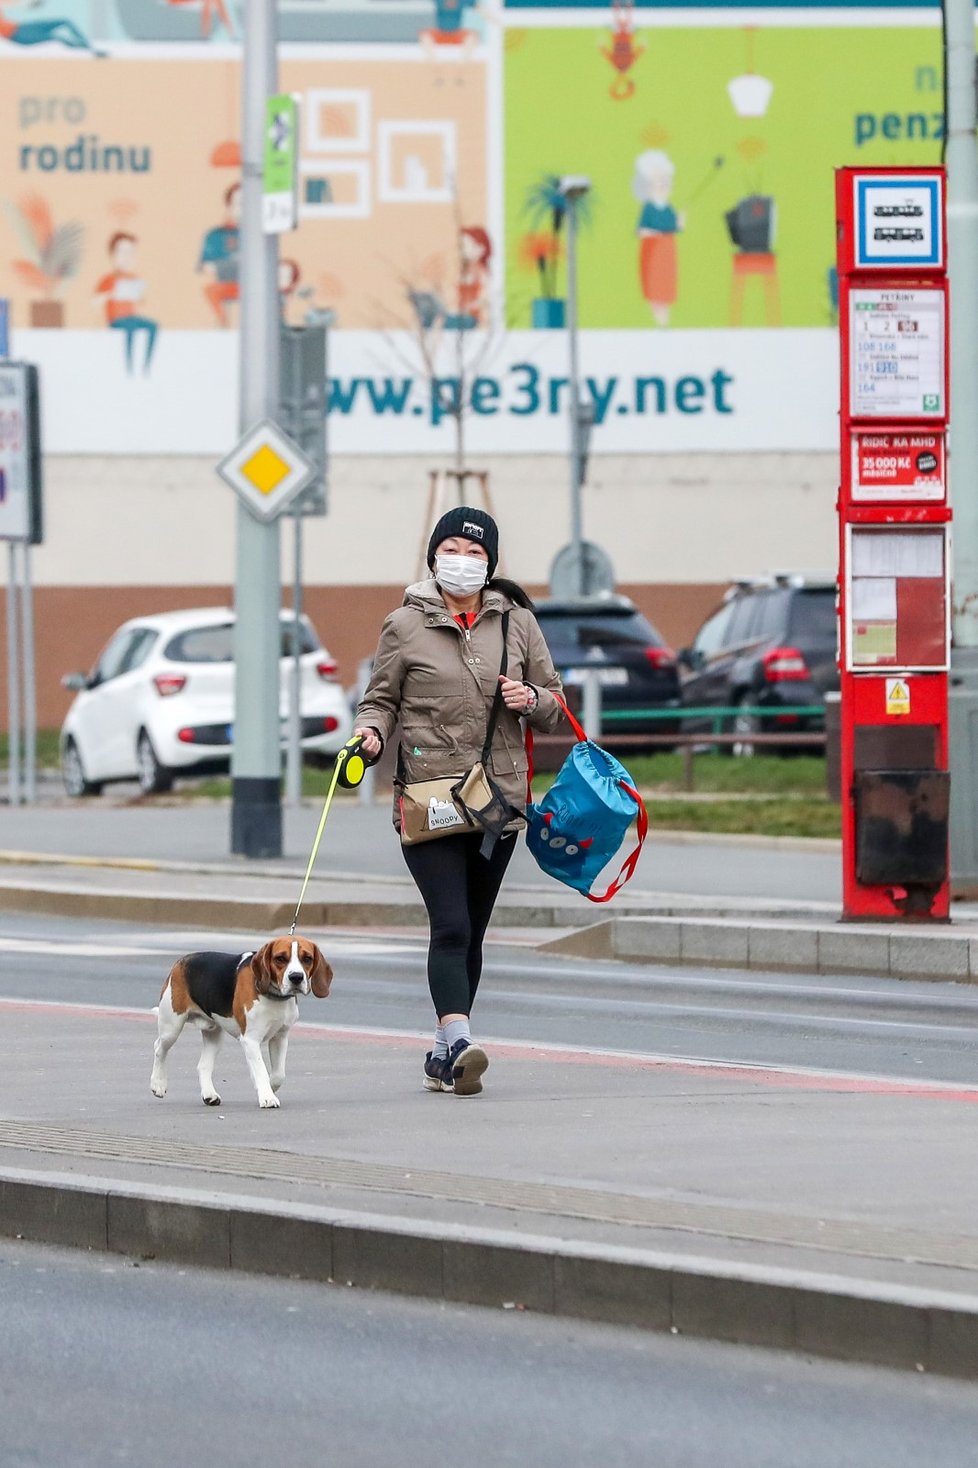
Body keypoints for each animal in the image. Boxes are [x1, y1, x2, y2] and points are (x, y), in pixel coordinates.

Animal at [149, 933, 331, 1103]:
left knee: (203, 1065)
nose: (296, 977)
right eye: (280, 958)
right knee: (159, 1048)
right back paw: (158, 1084)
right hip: (171, 1027)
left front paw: (267, 1088)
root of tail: (181, 960)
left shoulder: (280, 1037)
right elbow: (261, 1069)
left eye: (307, 958)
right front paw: (267, 1097)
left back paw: (209, 1095)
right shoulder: (250, 1040)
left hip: (214, 1036)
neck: (274, 996)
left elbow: (278, 1074)